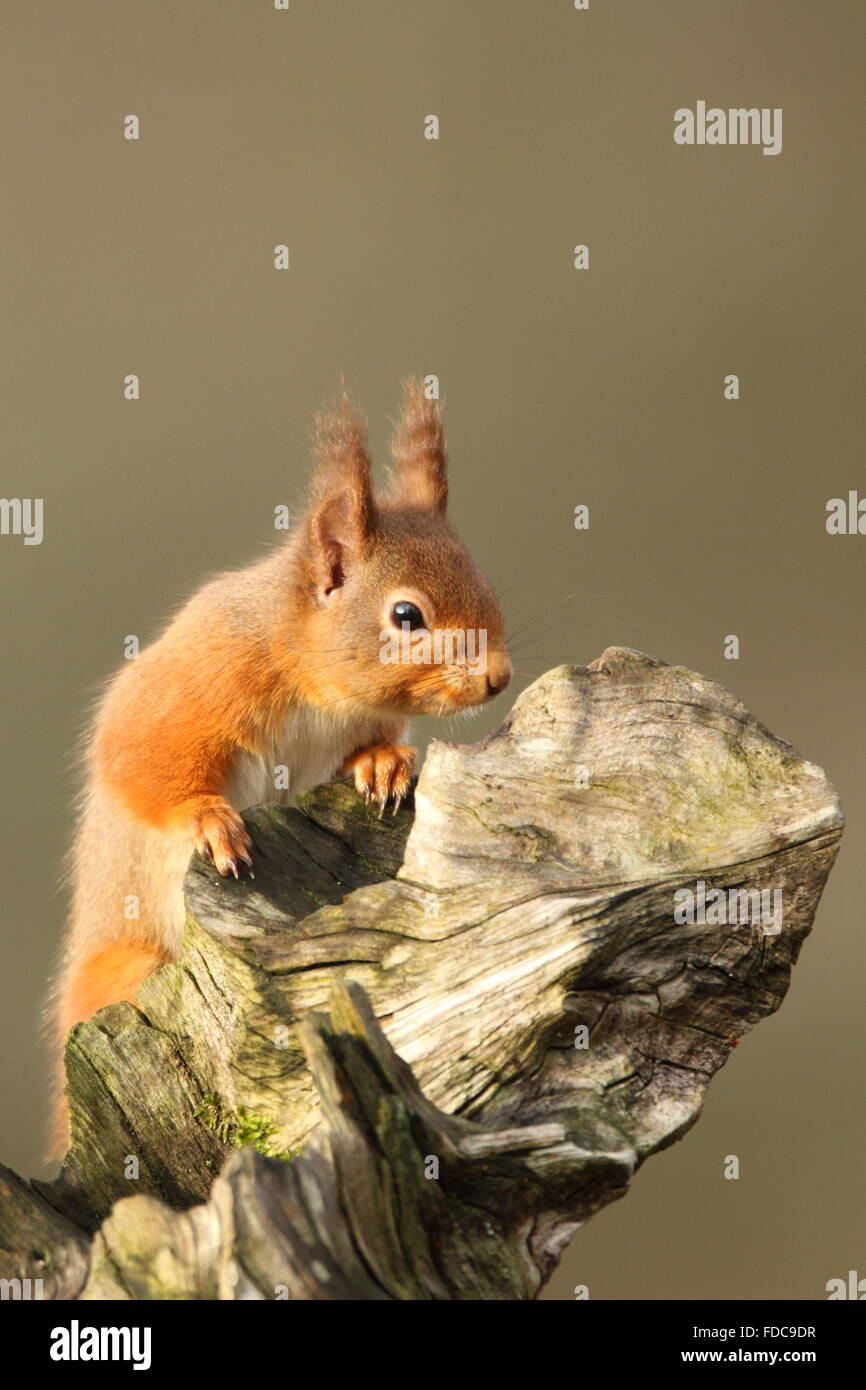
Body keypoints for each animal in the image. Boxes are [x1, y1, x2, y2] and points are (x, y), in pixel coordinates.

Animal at [50, 380, 511, 1150]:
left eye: (487, 585)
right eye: (406, 616)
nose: (499, 678)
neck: (314, 685)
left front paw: (385, 765)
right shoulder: (187, 686)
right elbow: (140, 761)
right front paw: (210, 823)